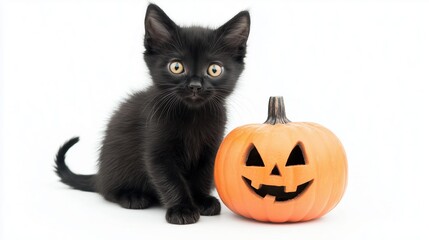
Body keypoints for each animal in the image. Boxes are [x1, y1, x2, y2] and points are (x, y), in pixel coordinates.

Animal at [54, 4, 247, 225]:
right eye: (176, 67)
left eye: (214, 69)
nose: (195, 86)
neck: (192, 116)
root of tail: (100, 175)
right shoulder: (157, 149)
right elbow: (170, 179)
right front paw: (182, 209)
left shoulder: (211, 147)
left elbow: (203, 175)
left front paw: (201, 200)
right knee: (108, 191)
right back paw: (132, 196)